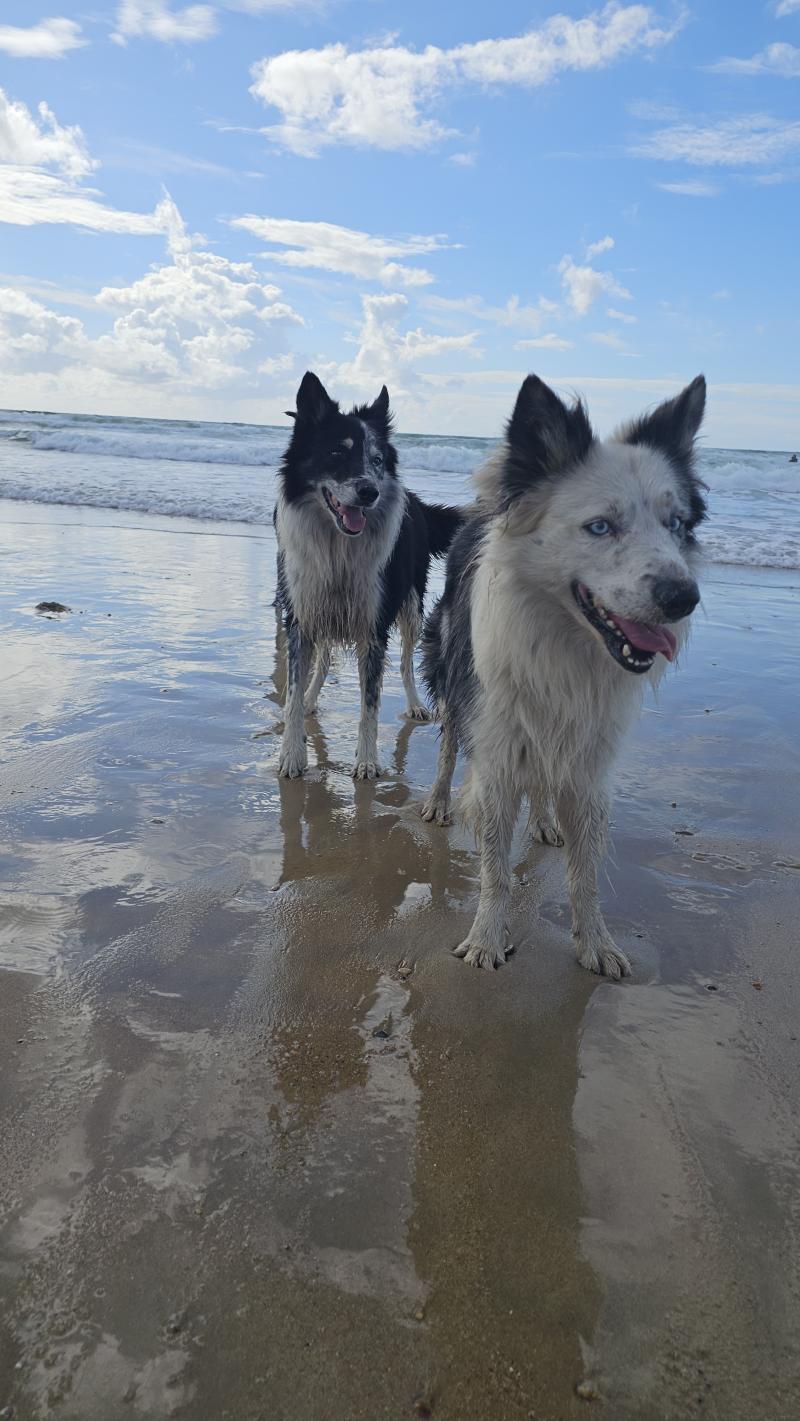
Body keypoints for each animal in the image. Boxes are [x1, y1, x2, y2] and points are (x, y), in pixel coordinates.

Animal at [275, 369, 463, 778]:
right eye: (337, 452)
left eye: (377, 459)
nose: (370, 492)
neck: (338, 545)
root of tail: (418, 502)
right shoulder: (301, 612)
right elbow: (293, 690)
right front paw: (292, 756)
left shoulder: (374, 624)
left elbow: (370, 701)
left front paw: (366, 762)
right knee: (323, 659)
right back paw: (313, 699)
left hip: (411, 605)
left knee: (407, 662)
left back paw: (415, 704)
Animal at [420, 372, 707, 977]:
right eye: (600, 527)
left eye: (675, 525)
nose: (684, 598)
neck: (565, 645)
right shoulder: (497, 747)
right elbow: (495, 869)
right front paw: (486, 939)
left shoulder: (589, 762)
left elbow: (586, 872)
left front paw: (595, 942)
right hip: (454, 675)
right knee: (449, 742)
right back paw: (436, 800)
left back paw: (545, 820)